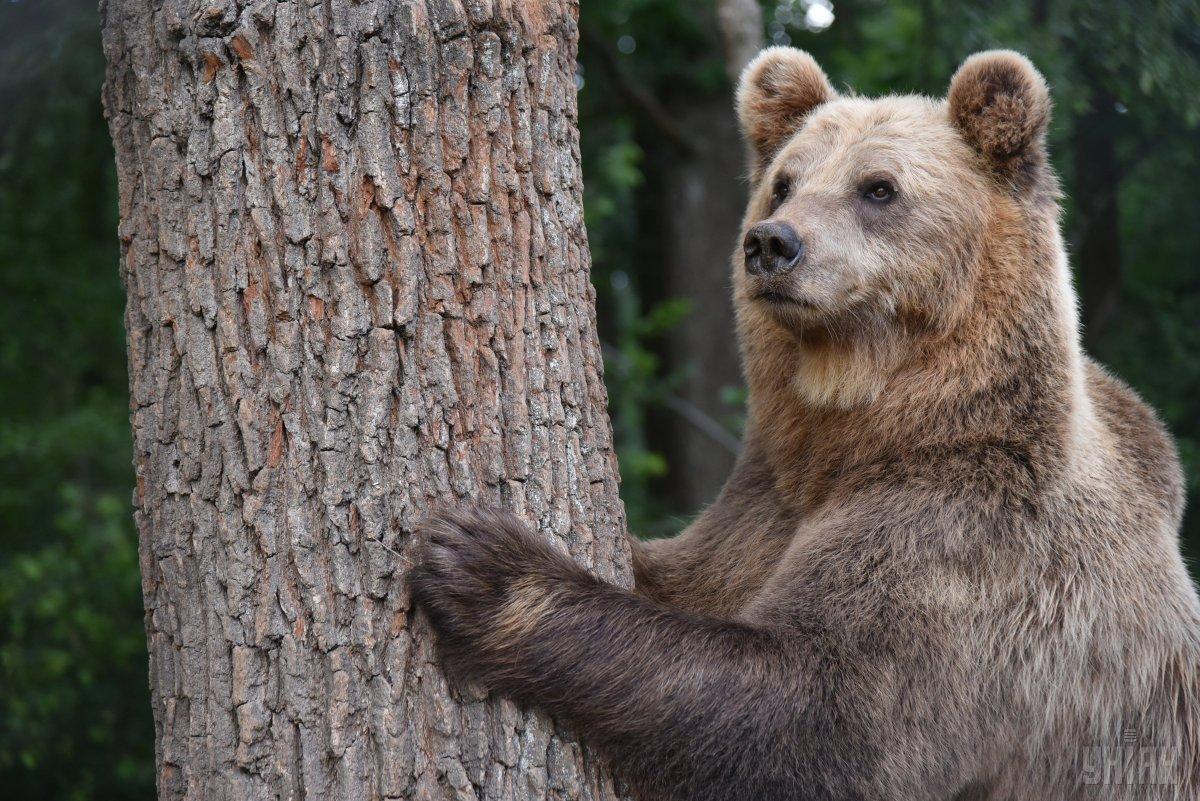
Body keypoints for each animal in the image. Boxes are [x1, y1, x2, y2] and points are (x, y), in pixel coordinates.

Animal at [410, 47, 1200, 796]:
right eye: (786, 180)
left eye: (878, 187)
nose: (772, 243)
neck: (861, 430)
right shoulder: (759, 507)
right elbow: (684, 575)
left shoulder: (979, 554)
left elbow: (826, 713)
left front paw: (483, 561)